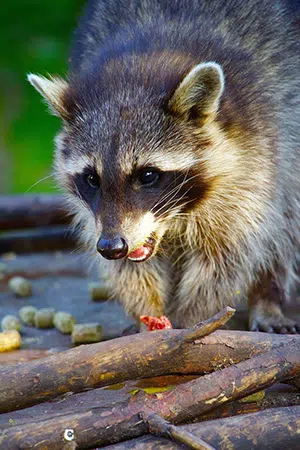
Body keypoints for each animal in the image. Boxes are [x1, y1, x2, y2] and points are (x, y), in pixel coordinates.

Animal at [28, 0, 300, 330]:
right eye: (92, 178)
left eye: (148, 175)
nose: (111, 248)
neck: (144, 63)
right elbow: (130, 270)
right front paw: (147, 311)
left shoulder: (256, 149)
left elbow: (227, 254)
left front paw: (194, 318)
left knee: (286, 218)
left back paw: (268, 296)